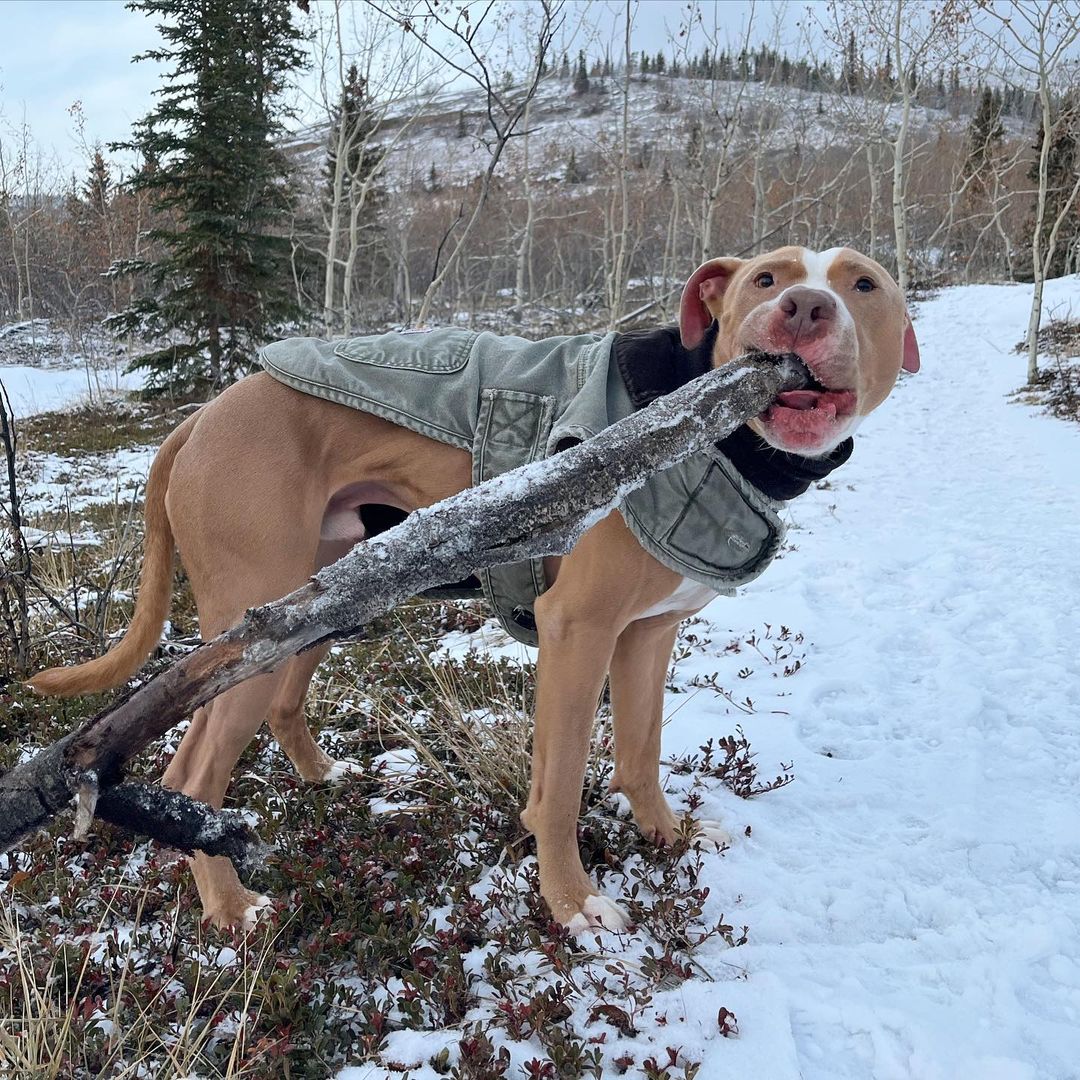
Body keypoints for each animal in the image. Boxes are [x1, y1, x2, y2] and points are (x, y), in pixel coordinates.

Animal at [27, 248, 920, 933]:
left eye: (863, 285)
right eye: (766, 278)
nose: (807, 308)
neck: (706, 427)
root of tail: (200, 417)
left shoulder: (647, 635)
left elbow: (638, 753)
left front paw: (667, 837)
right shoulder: (577, 631)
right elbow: (558, 788)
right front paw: (574, 903)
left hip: (319, 602)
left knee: (269, 712)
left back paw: (315, 783)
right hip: (259, 622)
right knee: (192, 774)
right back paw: (229, 906)